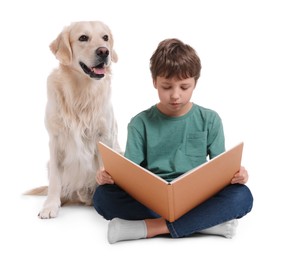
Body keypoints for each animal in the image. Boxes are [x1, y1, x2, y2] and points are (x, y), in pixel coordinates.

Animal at [25, 21, 120, 218]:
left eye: (105, 37)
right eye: (83, 38)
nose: (104, 51)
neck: (82, 92)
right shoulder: (55, 139)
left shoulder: (105, 137)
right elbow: (55, 179)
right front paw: (50, 206)